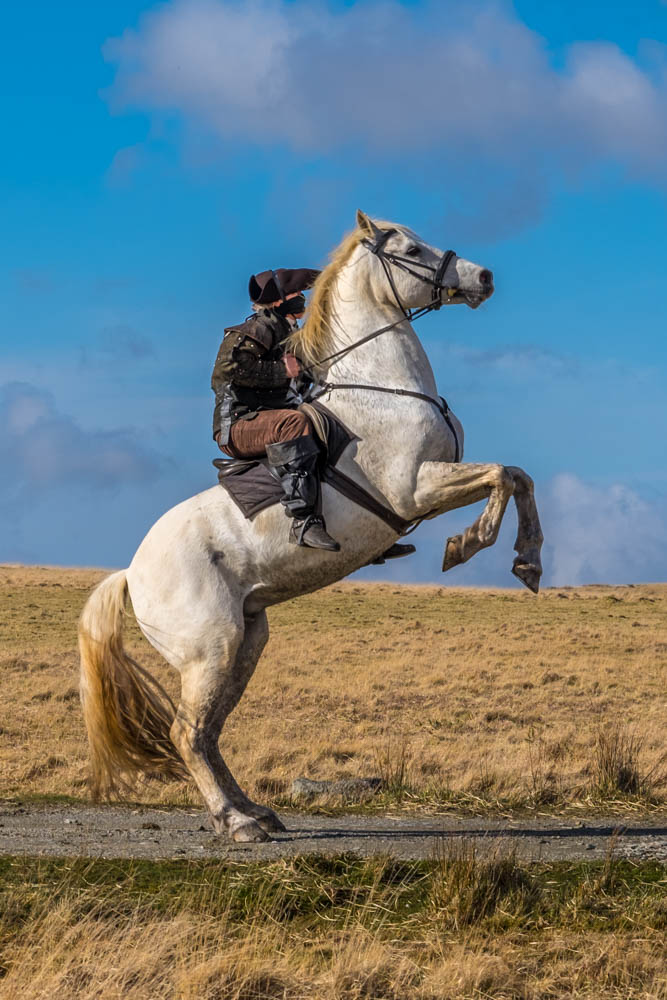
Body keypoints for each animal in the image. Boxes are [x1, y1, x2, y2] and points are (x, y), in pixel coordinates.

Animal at [81, 211, 544, 844]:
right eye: (410, 248)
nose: (484, 277)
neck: (382, 387)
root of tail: (131, 573)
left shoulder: (440, 483)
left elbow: (518, 476)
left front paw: (529, 560)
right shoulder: (416, 488)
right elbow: (501, 476)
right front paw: (465, 545)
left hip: (245, 643)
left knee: (208, 732)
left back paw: (254, 812)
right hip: (208, 651)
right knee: (186, 733)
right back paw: (236, 822)